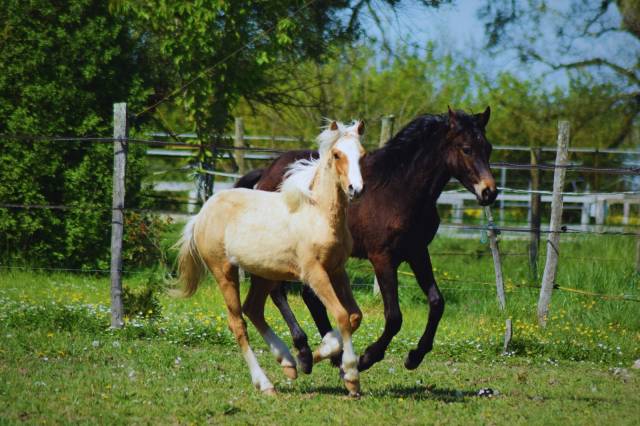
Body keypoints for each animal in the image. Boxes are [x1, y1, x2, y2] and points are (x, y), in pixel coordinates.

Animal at [176, 120, 364, 396]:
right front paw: (350, 376)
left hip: (264, 274)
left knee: (253, 309)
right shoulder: (314, 273)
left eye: (362, 154)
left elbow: (354, 316)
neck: (318, 215)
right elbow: (341, 316)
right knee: (238, 323)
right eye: (337, 154)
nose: (355, 189)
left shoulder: (338, 270)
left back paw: (288, 362)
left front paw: (320, 354)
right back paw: (265, 383)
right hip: (224, 272)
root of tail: (202, 212)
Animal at [235, 108, 500, 374]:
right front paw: (368, 357)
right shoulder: (382, 256)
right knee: (279, 292)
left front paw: (415, 356)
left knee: (308, 296)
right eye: (466, 148)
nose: (489, 192)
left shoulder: (417, 251)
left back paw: (333, 353)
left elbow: (437, 303)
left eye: (488, 148)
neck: (398, 189)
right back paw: (305, 351)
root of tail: (267, 173)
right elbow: (394, 316)